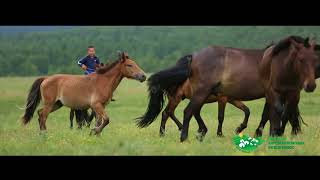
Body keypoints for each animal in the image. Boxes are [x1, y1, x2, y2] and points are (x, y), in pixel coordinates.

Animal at [137, 35, 318, 142]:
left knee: (182, 112)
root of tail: (193, 57)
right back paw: (183, 136)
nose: (310, 84)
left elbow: (258, 113)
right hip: (192, 95)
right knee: (179, 112)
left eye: (315, 59)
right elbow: (272, 114)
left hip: (197, 96)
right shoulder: (272, 94)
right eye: (302, 60)